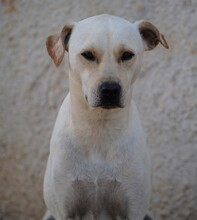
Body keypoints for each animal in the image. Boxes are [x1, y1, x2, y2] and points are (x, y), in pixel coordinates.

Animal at [43, 14, 169, 220]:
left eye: (127, 55)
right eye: (87, 54)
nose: (110, 89)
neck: (98, 127)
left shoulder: (134, 208)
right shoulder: (64, 210)